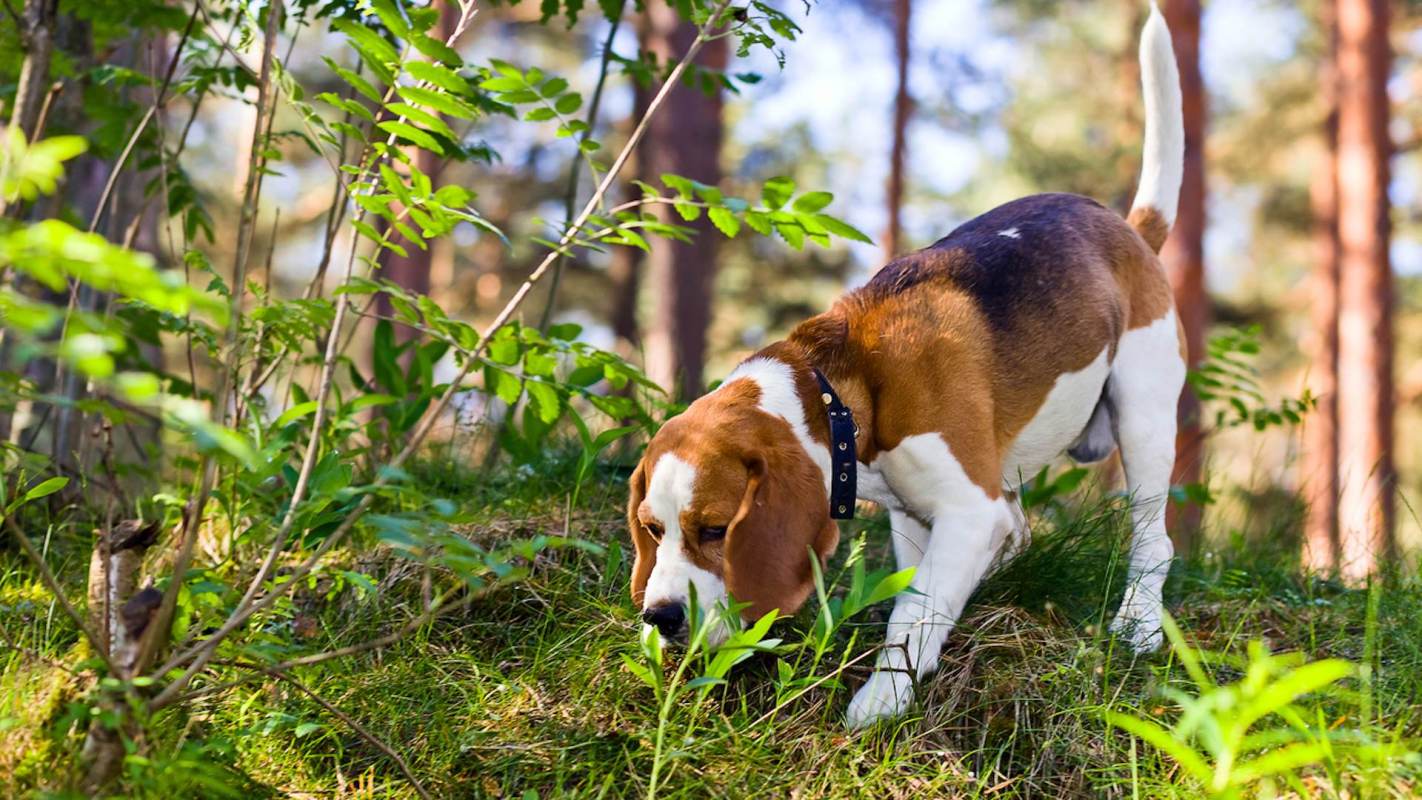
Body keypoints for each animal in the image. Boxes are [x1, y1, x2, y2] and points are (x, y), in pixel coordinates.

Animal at [628, 6, 1183, 727]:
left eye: (716, 529)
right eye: (652, 528)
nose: (660, 616)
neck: (844, 389)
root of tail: (1131, 230)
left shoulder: (967, 510)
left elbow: (913, 614)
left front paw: (881, 700)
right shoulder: (914, 517)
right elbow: (919, 594)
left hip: (1143, 416)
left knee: (1152, 537)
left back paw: (1139, 623)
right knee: (1021, 533)